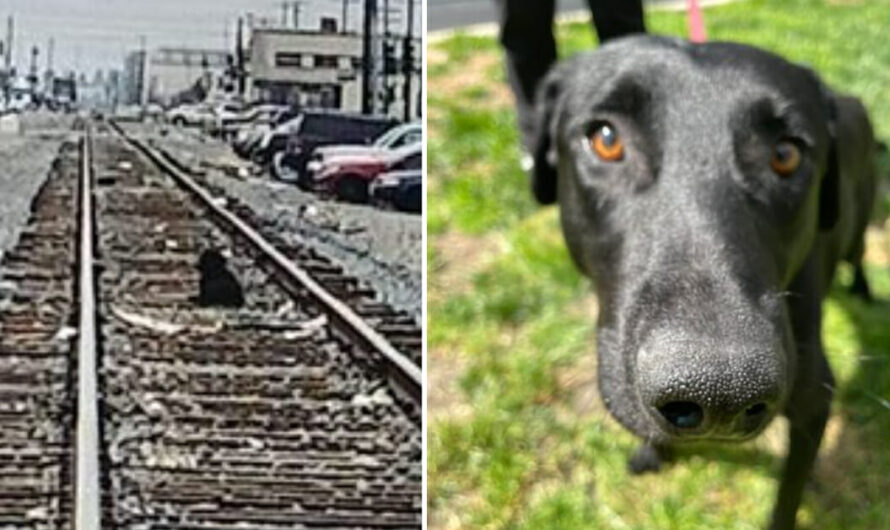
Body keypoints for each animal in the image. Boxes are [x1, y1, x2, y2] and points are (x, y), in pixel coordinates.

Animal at [532, 35, 876, 524]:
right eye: (606, 140)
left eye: (786, 155)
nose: (721, 394)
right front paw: (654, 453)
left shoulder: (814, 401)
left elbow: (787, 500)